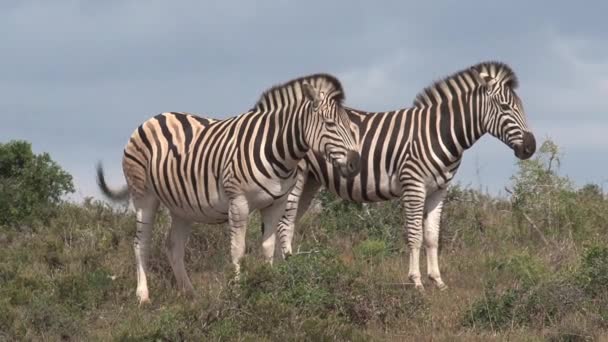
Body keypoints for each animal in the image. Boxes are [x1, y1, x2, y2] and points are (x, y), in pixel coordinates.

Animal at [95, 73, 360, 304]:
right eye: (330, 124)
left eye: (350, 125)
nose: (355, 163)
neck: (277, 149)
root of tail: (154, 117)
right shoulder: (238, 201)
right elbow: (238, 249)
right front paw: (238, 290)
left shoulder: (276, 203)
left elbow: (268, 247)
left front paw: (269, 286)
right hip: (144, 195)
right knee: (141, 242)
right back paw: (143, 296)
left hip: (182, 206)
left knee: (173, 246)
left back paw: (190, 294)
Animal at [274, 61, 536, 292]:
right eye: (505, 107)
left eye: (522, 107)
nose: (530, 147)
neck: (439, 133)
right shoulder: (413, 185)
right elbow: (415, 236)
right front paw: (416, 281)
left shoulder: (438, 190)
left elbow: (432, 237)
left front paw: (438, 281)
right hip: (296, 177)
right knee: (284, 222)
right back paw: (288, 270)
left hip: (311, 180)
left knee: (290, 222)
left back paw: (287, 266)